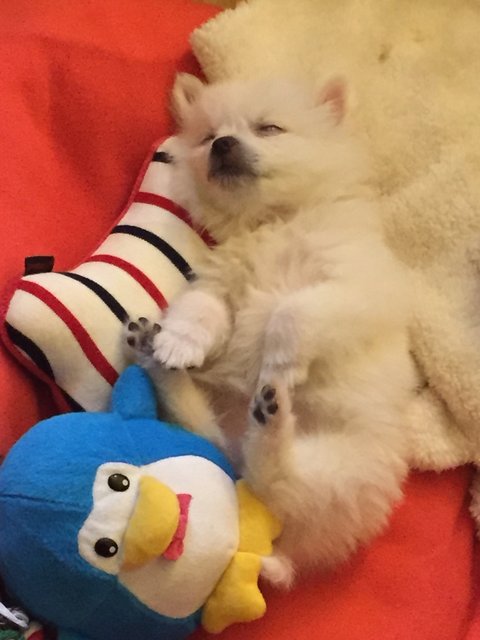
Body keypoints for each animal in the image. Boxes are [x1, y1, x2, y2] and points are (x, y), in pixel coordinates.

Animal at [126, 73, 419, 587]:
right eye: (208, 136)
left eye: (269, 128)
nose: (223, 144)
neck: (271, 221)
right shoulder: (223, 284)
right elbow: (201, 308)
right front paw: (177, 342)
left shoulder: (356, 285)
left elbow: (291, 312)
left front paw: (280, 362)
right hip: (228, 444)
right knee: (218, 443)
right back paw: (157, 360)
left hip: (340, 468)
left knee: (280, 480)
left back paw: (272, 412)